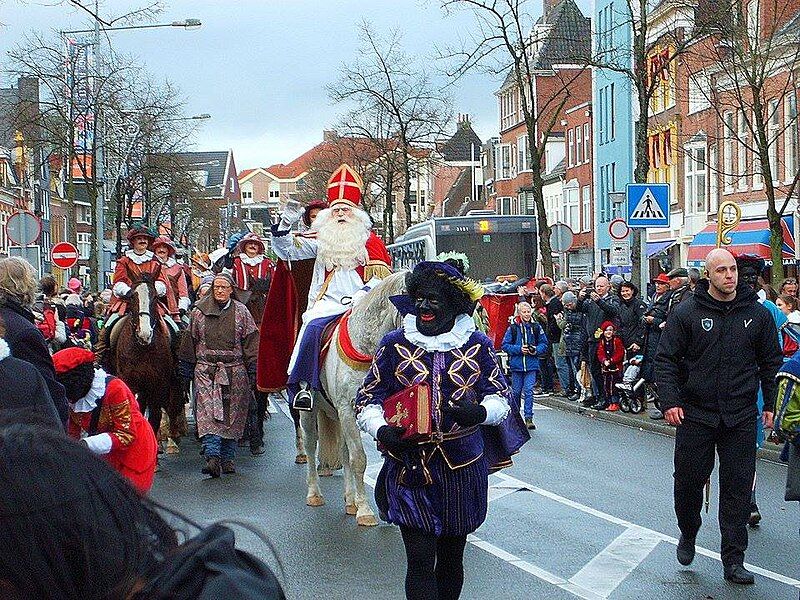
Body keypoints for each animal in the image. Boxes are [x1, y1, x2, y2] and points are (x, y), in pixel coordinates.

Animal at [304, 270, 410, 524]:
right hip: (309, 413)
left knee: (344, 452)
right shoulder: (348, 409)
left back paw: (350, 499)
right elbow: (359, 459)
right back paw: (314, 494)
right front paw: (366, 511)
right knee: (311, 445)